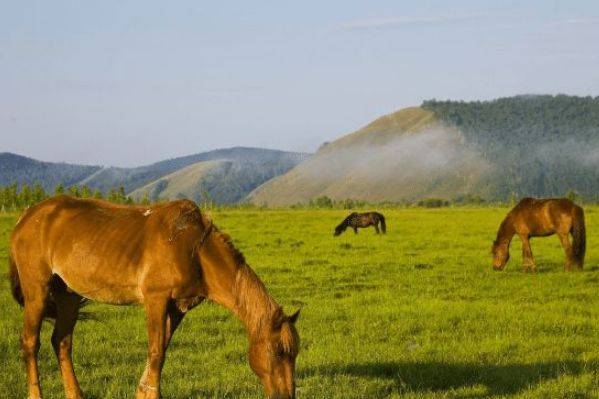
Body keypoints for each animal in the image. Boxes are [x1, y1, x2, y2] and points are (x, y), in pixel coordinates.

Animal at [8, 197, 300, 399]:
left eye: (294, 353)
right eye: (278, 351)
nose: (286, 396)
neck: (194, 250)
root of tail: (26, 216)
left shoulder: (179, 307)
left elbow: (162, 351)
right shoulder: (156, 300)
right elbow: (156, 351)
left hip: (68, 295)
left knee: (62, 342)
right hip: (37, 292)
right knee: (30, 343)